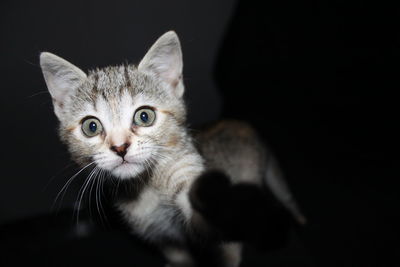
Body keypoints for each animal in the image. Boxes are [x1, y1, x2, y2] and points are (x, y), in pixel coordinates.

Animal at [39, 31, 304, 267]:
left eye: (144, 116)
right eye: (91, 126)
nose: (120, 147)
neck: (145, 190)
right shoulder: (158, 235)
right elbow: (177, 255)